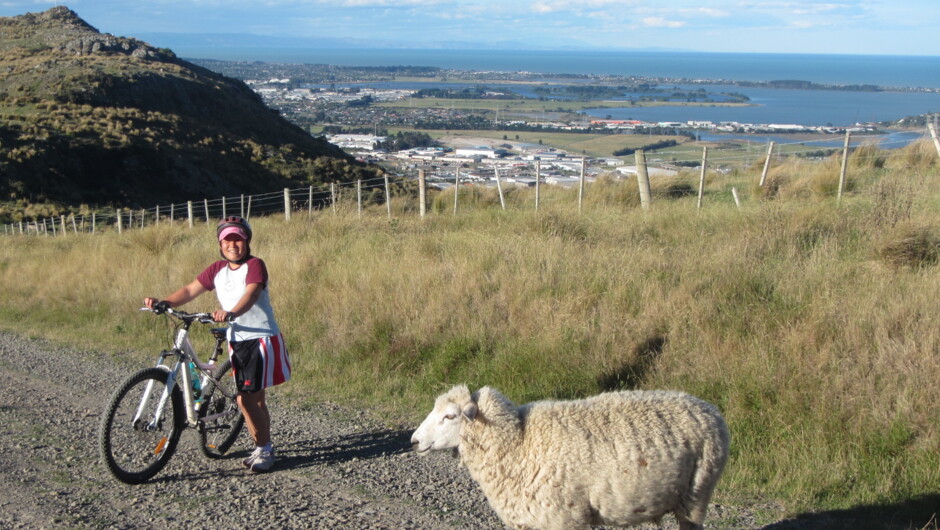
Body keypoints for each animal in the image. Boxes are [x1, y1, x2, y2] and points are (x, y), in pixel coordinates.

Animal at [414, 384, 732, 528]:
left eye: (450, 416)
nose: (414, 440)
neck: (518, 445)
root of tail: (711, 411)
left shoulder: (566, 519)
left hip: (696, 494)